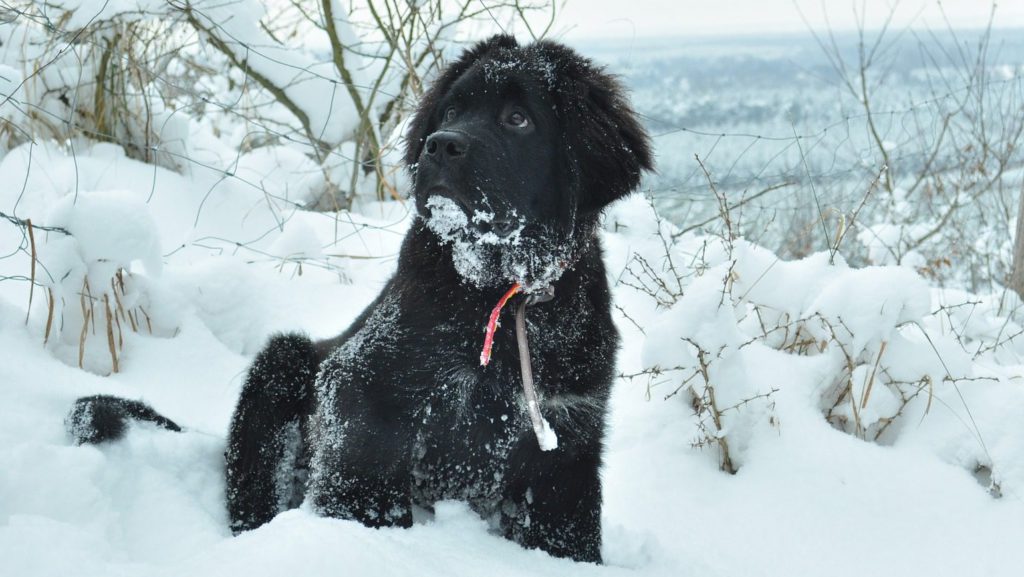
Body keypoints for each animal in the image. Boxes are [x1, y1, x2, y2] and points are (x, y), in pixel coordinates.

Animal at [68, 36, 651, 565]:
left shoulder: (568, 436)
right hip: (280, 366)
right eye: (452, 110)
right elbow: (363, 485)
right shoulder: (364, 387)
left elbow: (567, 532)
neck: (497, 294)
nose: (440, 145)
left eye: (517, 119)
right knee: (250, 492)